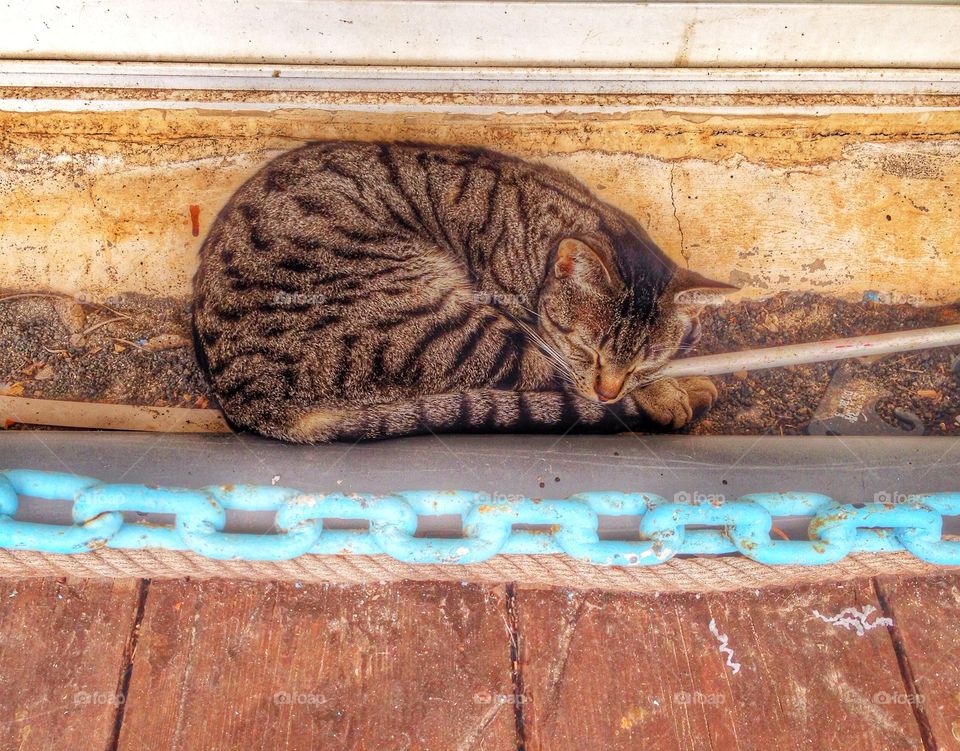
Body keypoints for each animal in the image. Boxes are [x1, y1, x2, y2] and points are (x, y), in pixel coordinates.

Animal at [193, 141, 736, 440]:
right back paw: (691, 392)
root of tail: (249, 403)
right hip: (455, 330)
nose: (609, 389)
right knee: (538, 377)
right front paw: (667, 390)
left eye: (643, 360)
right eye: (588, 349)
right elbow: (568, 374)